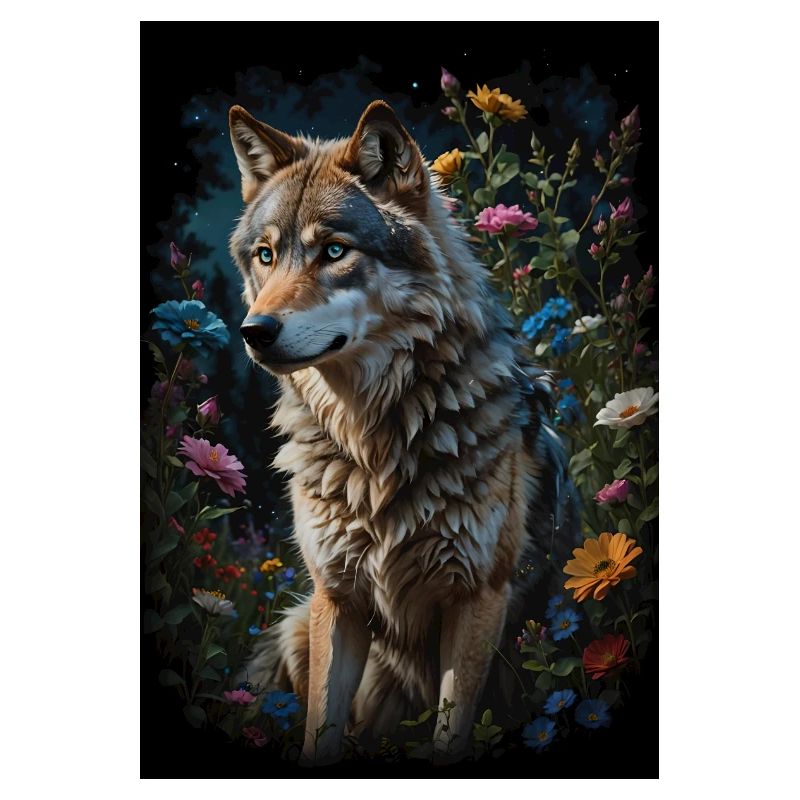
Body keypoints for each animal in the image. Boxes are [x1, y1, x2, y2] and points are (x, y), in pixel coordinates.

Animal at [227, 100, 573, 763]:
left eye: (334, 251)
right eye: (266, 254)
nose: (253, 332)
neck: (375, 441)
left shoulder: (477, 598)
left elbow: (448, 735)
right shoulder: (338, 598)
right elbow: (320, 730)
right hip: (299, 624)